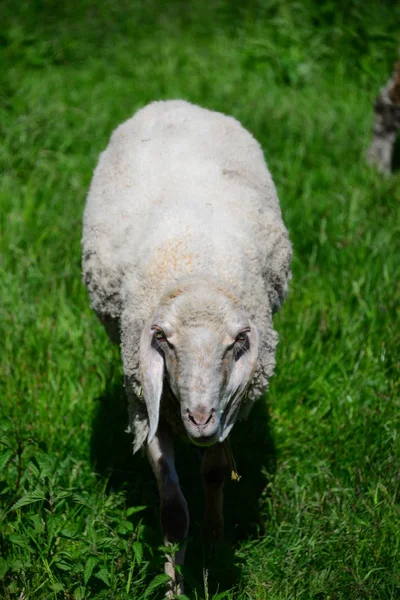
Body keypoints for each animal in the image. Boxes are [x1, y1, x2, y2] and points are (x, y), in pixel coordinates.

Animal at [83, 99, 292, 596]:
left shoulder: (231, 403)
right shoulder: (147, 405)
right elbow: (174, 513)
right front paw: (174, 585)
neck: (197, 270)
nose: (198, 418)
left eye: (235, 344)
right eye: (165, 341)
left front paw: (214, 541)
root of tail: (174, 102)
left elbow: (214, 472)